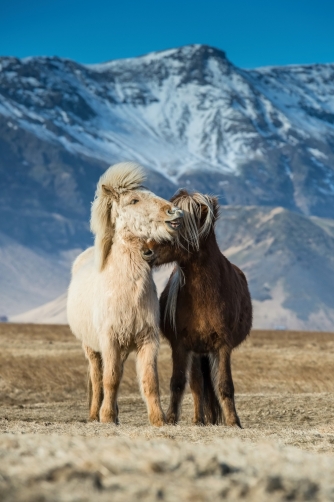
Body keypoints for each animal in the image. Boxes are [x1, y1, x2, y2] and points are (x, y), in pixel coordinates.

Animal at [67, 163, 183, 426]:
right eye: (134, 200)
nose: (174, 212)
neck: (128, 293)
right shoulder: (109, 340)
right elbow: (110, 379)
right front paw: (107, 417)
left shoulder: (147, 340)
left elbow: (150, 381)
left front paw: (158, 419)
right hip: (91, 348)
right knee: (97, 376)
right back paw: (95, 414)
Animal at [151, 190, 250, 426]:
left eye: (176, 224)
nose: (145, 250)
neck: (204, 296)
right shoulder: (181, 345)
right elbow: (178, 383)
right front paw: (171, 420)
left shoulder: (223, 345)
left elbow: (225, 385)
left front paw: (234, 422)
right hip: (197, 351)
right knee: (197, 385)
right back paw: (199, 420)